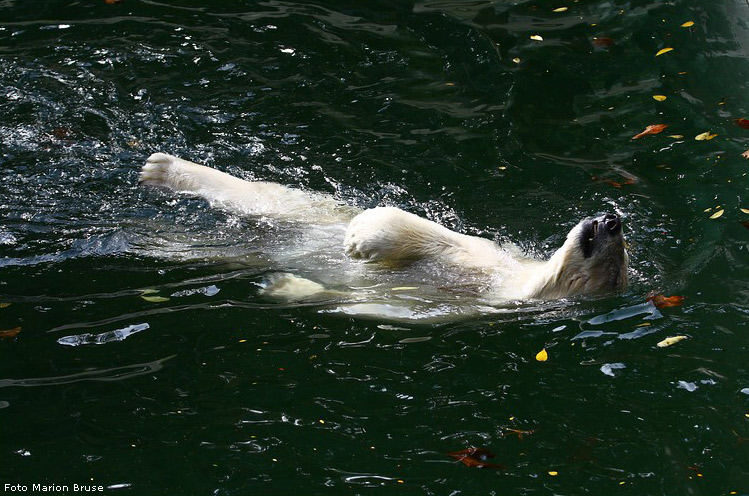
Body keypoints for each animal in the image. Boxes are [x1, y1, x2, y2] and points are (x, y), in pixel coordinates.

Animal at [139, 153, 624, 302]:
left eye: (598, 244)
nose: (612, 218)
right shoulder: (490, 255)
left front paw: (359, 239)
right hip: (312, 206)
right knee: (275, 198)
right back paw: (163, 170)